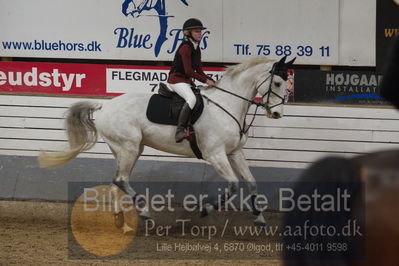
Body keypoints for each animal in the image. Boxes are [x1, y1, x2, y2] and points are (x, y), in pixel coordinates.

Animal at [38, 55, 294, 227]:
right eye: (278, 83)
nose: (277, 114)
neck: (228, 105)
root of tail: (105, 105)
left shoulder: (234, 153)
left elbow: (251, 182)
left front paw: (259, 218)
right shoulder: (215, 154)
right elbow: (232, 184)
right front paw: (206, 209)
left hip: (127, 150)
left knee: (116, 182)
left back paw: (120, 219)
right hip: (129, 148)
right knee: (121, 179)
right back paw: (144, 214)